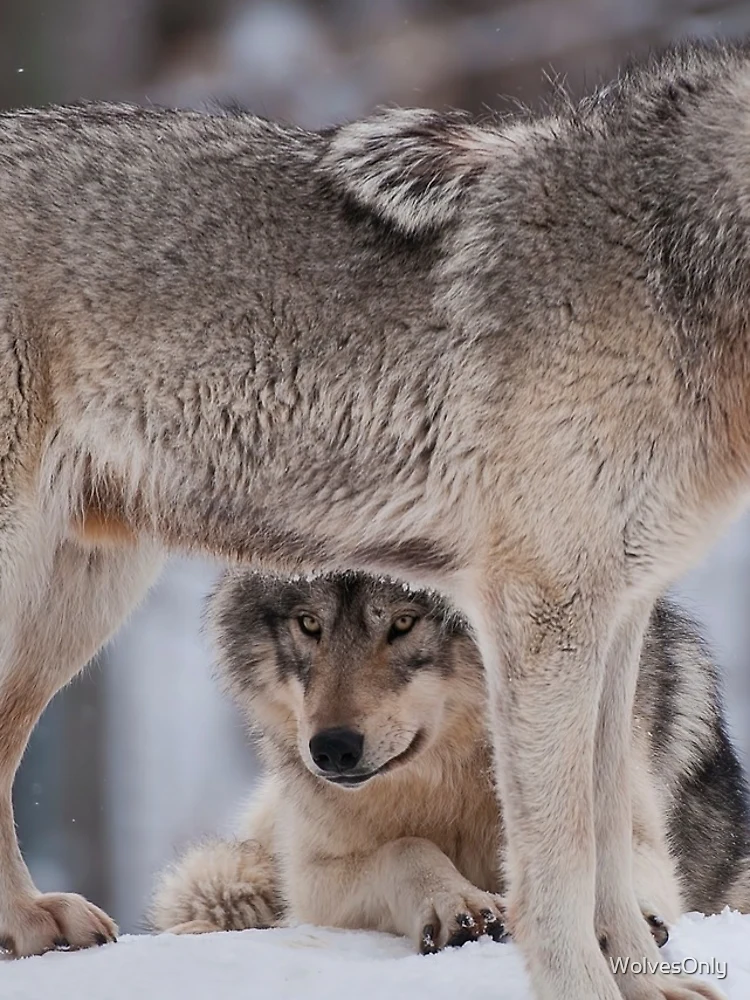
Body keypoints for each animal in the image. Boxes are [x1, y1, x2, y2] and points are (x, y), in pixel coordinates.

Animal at [151, 572, 750, 954]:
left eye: (404, 622)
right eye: (309, 624)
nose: (333, 749)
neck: (451, 778)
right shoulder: (313, 877)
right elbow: (406, 847)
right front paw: (456, 902)